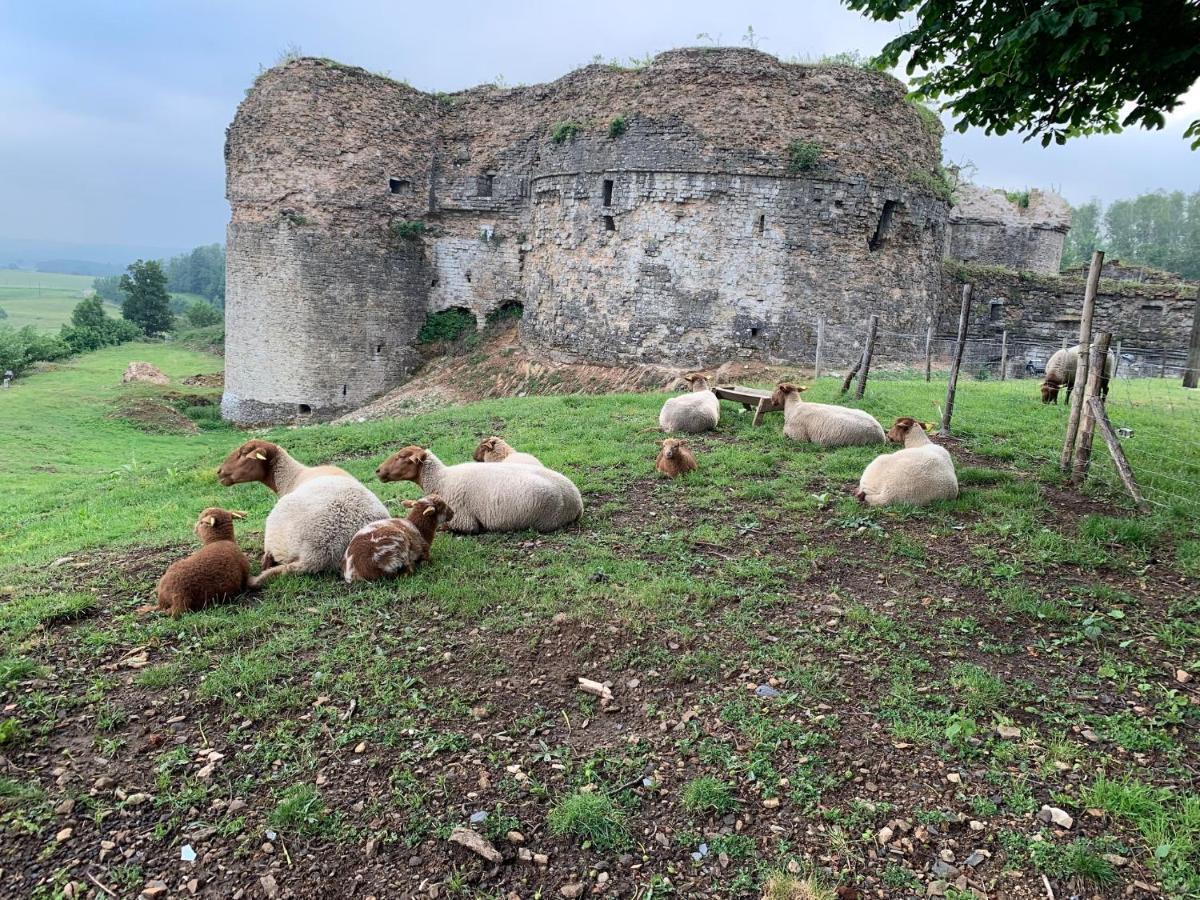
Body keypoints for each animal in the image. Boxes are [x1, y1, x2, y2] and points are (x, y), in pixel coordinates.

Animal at [214, 439, 384, 580]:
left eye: (243, 453)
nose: (219, 472)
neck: (292, 476)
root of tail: (315, 555)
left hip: (275, 533)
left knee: (268, 559)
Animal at [374, 446, 580, 532]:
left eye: (402, 456)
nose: (377, 470)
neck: (441, 479)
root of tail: (578, 502)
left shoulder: (463, 521)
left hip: (546, 521)